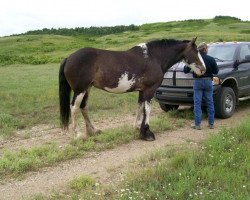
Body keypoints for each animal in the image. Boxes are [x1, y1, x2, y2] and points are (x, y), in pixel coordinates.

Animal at [58, 37, 205, 141]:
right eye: (196, 51)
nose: (203, 69)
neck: (153, 57)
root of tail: (69, 57)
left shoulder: (142, 90)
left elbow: (140, 107)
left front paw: (137, 127)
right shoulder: (150, 90)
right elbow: (147, 109)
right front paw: (146, 133)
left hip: (87, 89)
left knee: (84, 107)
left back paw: (93, 131)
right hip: (80, 90)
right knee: (74, 108)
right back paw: (78, 134)